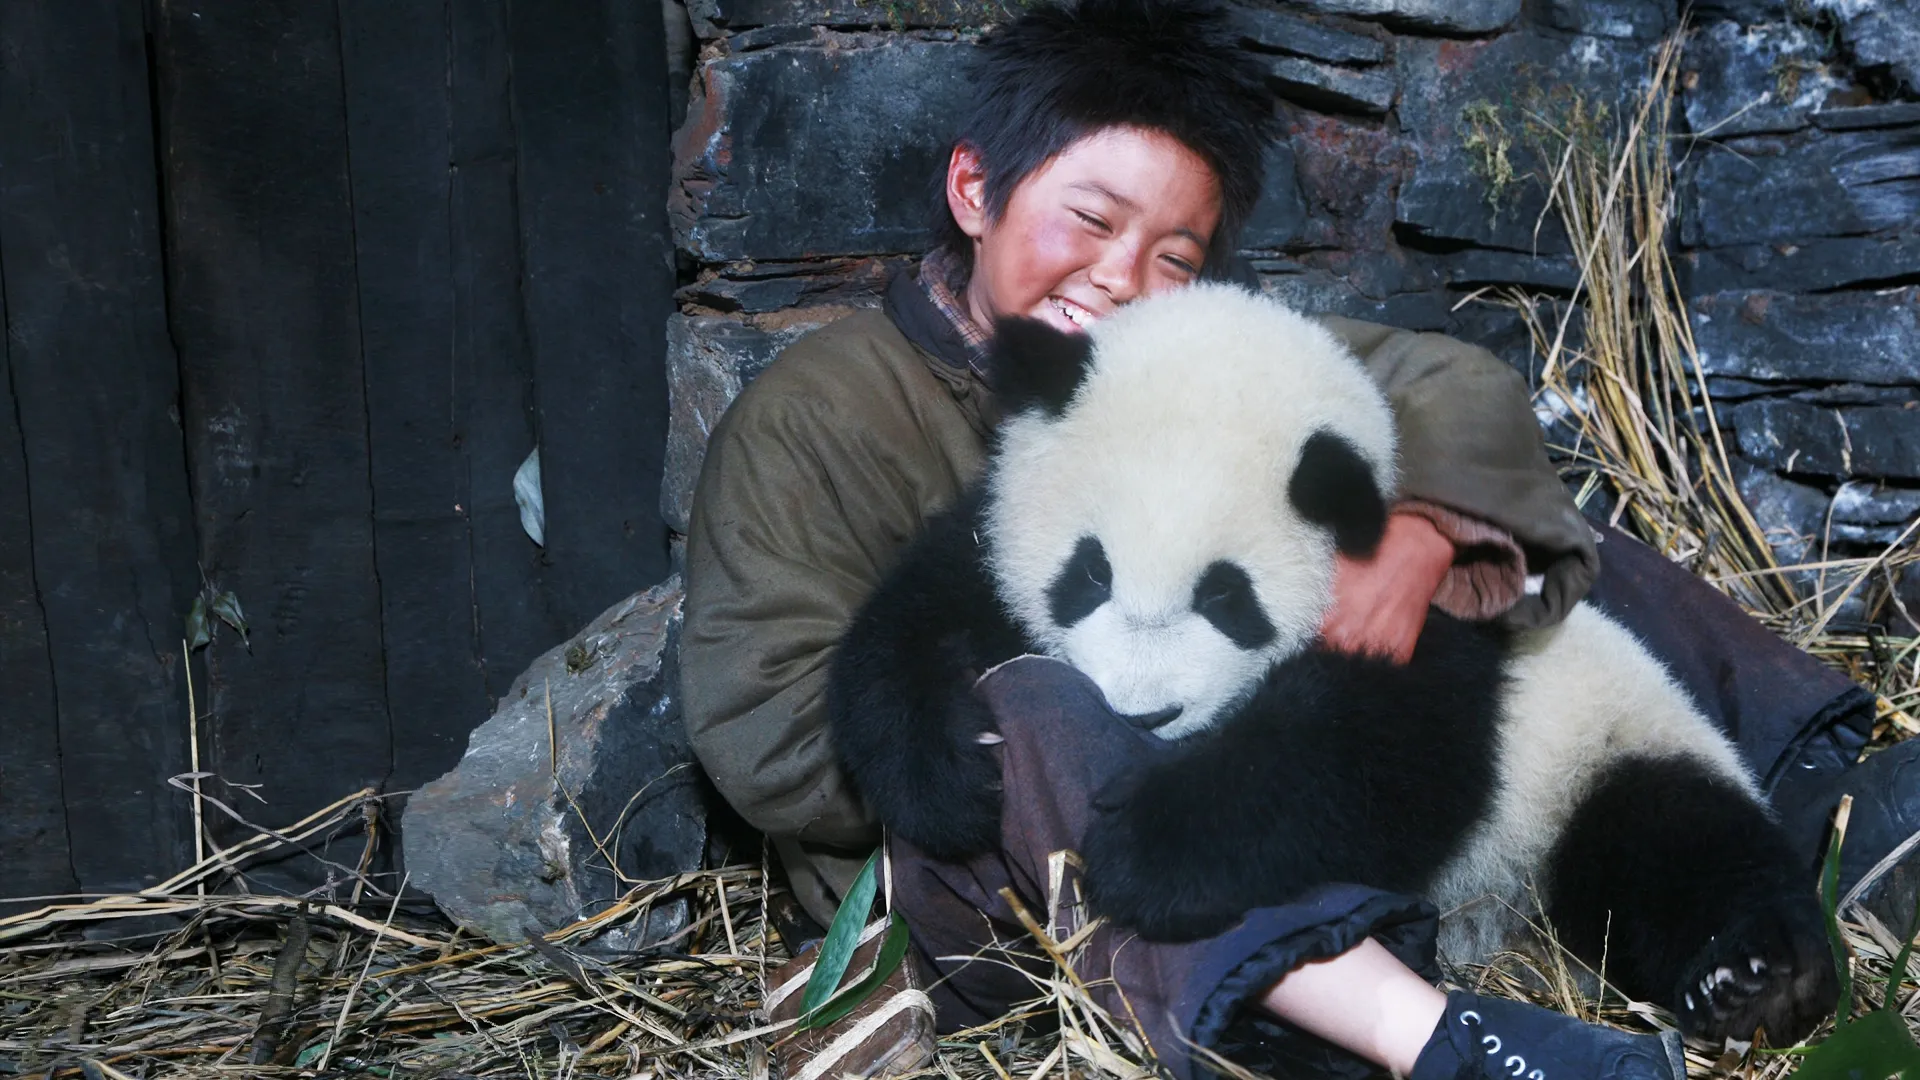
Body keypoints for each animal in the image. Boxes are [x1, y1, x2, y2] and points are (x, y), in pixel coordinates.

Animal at [827, 283, 1835, 1044]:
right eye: (1089, 572)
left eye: (1226, 597)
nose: (1142, 715)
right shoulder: (988, 547)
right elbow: (918, 620)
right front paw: (947, 777)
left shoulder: (1426, 624)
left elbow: (1371, 764)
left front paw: (1146, 851)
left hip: (1601, 744)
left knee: (1675, 840)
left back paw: (1756, 978)